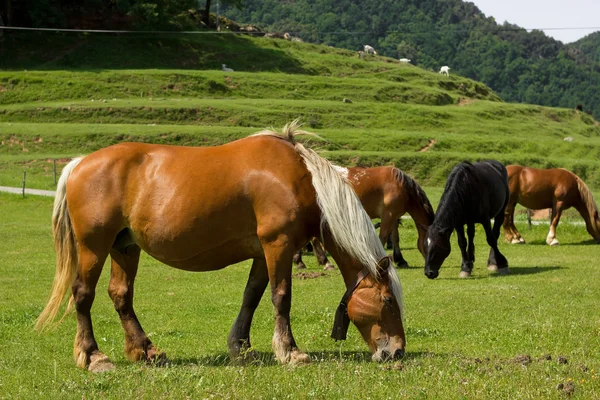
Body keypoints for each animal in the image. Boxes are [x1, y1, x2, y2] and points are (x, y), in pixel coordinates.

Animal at [35, 121, 406, 372]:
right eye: (388, 300)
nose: (397, 351)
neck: (300, 178)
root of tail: (79, 164)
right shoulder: (279, 244)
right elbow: (281, 297)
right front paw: (290, 351)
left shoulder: (263, 252)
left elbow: (252, 296)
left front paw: (241, 347)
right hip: (93, 247)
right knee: (83, 295)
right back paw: (93, 356)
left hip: (125, 247)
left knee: (121, 296)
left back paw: (146, 350)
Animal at [292, 166, 434, 268]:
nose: (431, 270)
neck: (401, 186)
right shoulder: (388, 215)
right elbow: (382, 237)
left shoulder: (393, 216)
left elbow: (395, 238)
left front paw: (400, 260)